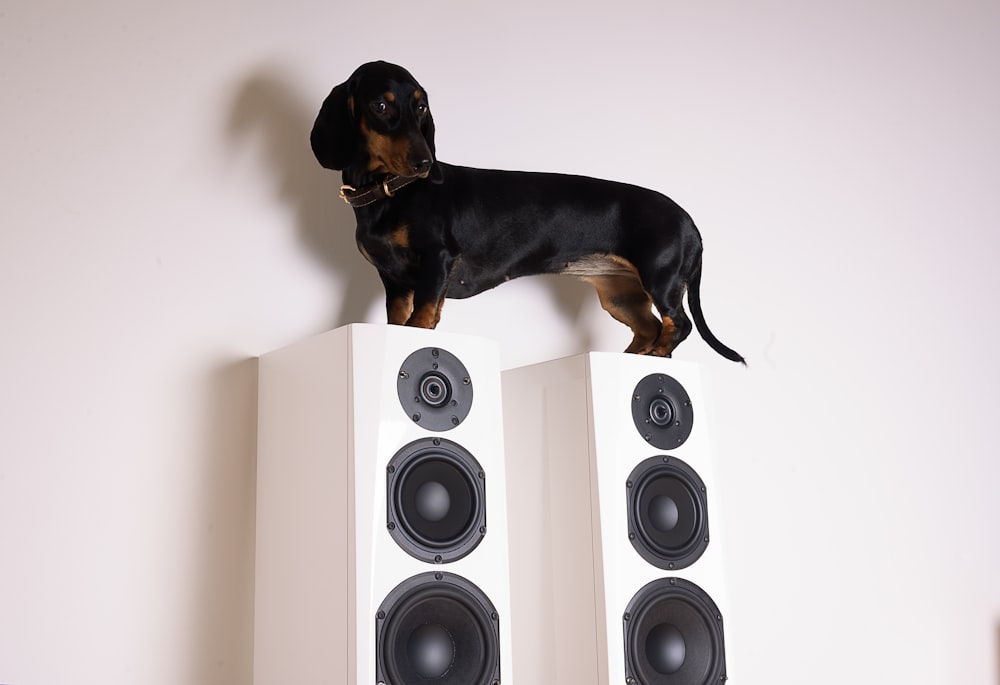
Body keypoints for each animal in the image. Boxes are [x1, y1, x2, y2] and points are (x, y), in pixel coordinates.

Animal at [310, 61, 744, 364]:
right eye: (381, 104)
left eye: (421, 107)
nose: (424, 163)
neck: (391, 193)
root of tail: (691, 223)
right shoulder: (395, 280)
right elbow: (400, 321)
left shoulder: (437, 260)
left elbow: (423, 318)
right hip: (620, 294)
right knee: (649, 326)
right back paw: (634, 357)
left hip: (661, 277)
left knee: (678, 323)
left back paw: (656, 355)